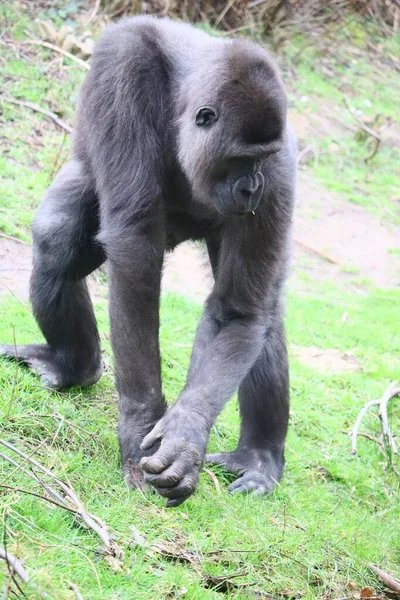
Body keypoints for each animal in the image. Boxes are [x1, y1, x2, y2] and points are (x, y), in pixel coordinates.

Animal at [0, 15, 296, 506]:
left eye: (261, 160)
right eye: (240, 160)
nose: (252, 188)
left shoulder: (281, 168)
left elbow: (237, 312)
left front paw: (185, 433)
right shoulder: (125, 68)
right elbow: (134, 251)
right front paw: (140, 419)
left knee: (262, 312)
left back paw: (258, 456)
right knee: (55, 241)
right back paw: (74, 365)